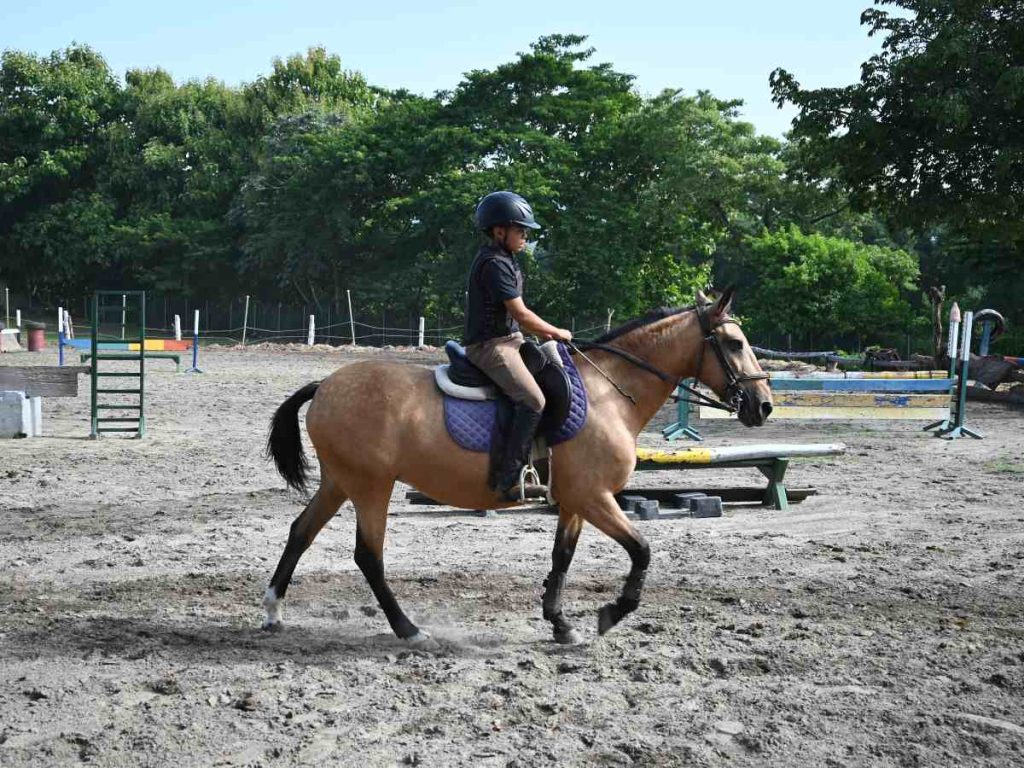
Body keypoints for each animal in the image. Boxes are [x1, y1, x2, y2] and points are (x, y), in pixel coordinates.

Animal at [261, 287, 773, 646]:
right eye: (734, 342)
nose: (763, 405)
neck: (608, 393)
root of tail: (325, 386)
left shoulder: (575, 500)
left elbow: (562, 557)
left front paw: (560, 623)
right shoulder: (594, 496)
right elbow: (642, 549)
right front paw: (610, 614)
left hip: (339, 482)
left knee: (300, 532)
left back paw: (273, 611)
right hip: (371, 486)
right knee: (368, 556)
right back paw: (409, 629)